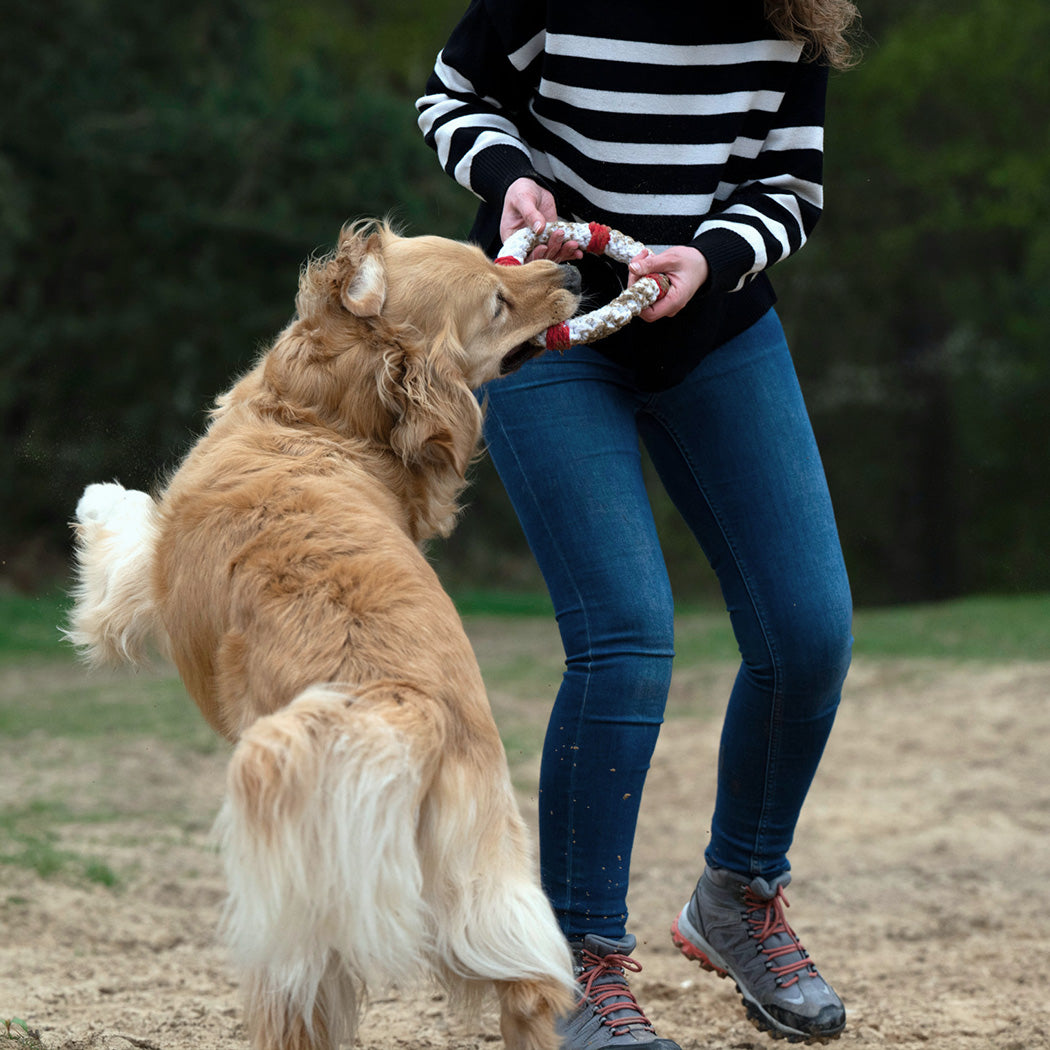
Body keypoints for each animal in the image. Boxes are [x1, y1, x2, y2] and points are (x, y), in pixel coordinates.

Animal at [67, 221, 583, 1050]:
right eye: (498, 292)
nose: (571, 273)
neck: (321, 422)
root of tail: (414, 705)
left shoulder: (149, 572)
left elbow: (127, 529)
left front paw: (97, 497)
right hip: (483, 879)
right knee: (531, 985)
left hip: (299, 884)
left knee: (301, 1001)